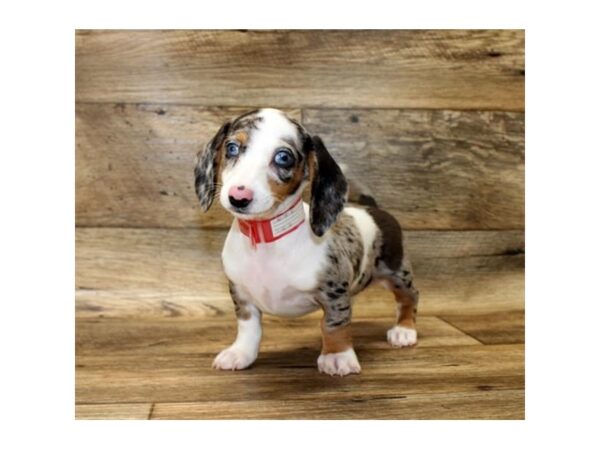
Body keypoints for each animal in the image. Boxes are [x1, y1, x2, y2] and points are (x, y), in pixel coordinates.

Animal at [194, 108, 419, 376]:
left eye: (283, 157)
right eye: (231, 148)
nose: (239, 197)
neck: (267, 237)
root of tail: (373, 209)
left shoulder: (334, 294)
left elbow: (333, 325)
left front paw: (337, 356)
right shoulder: (241, 295)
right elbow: (249, 327)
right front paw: (241, 353)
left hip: (398, 272)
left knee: (409, 297)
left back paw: (404, 330)